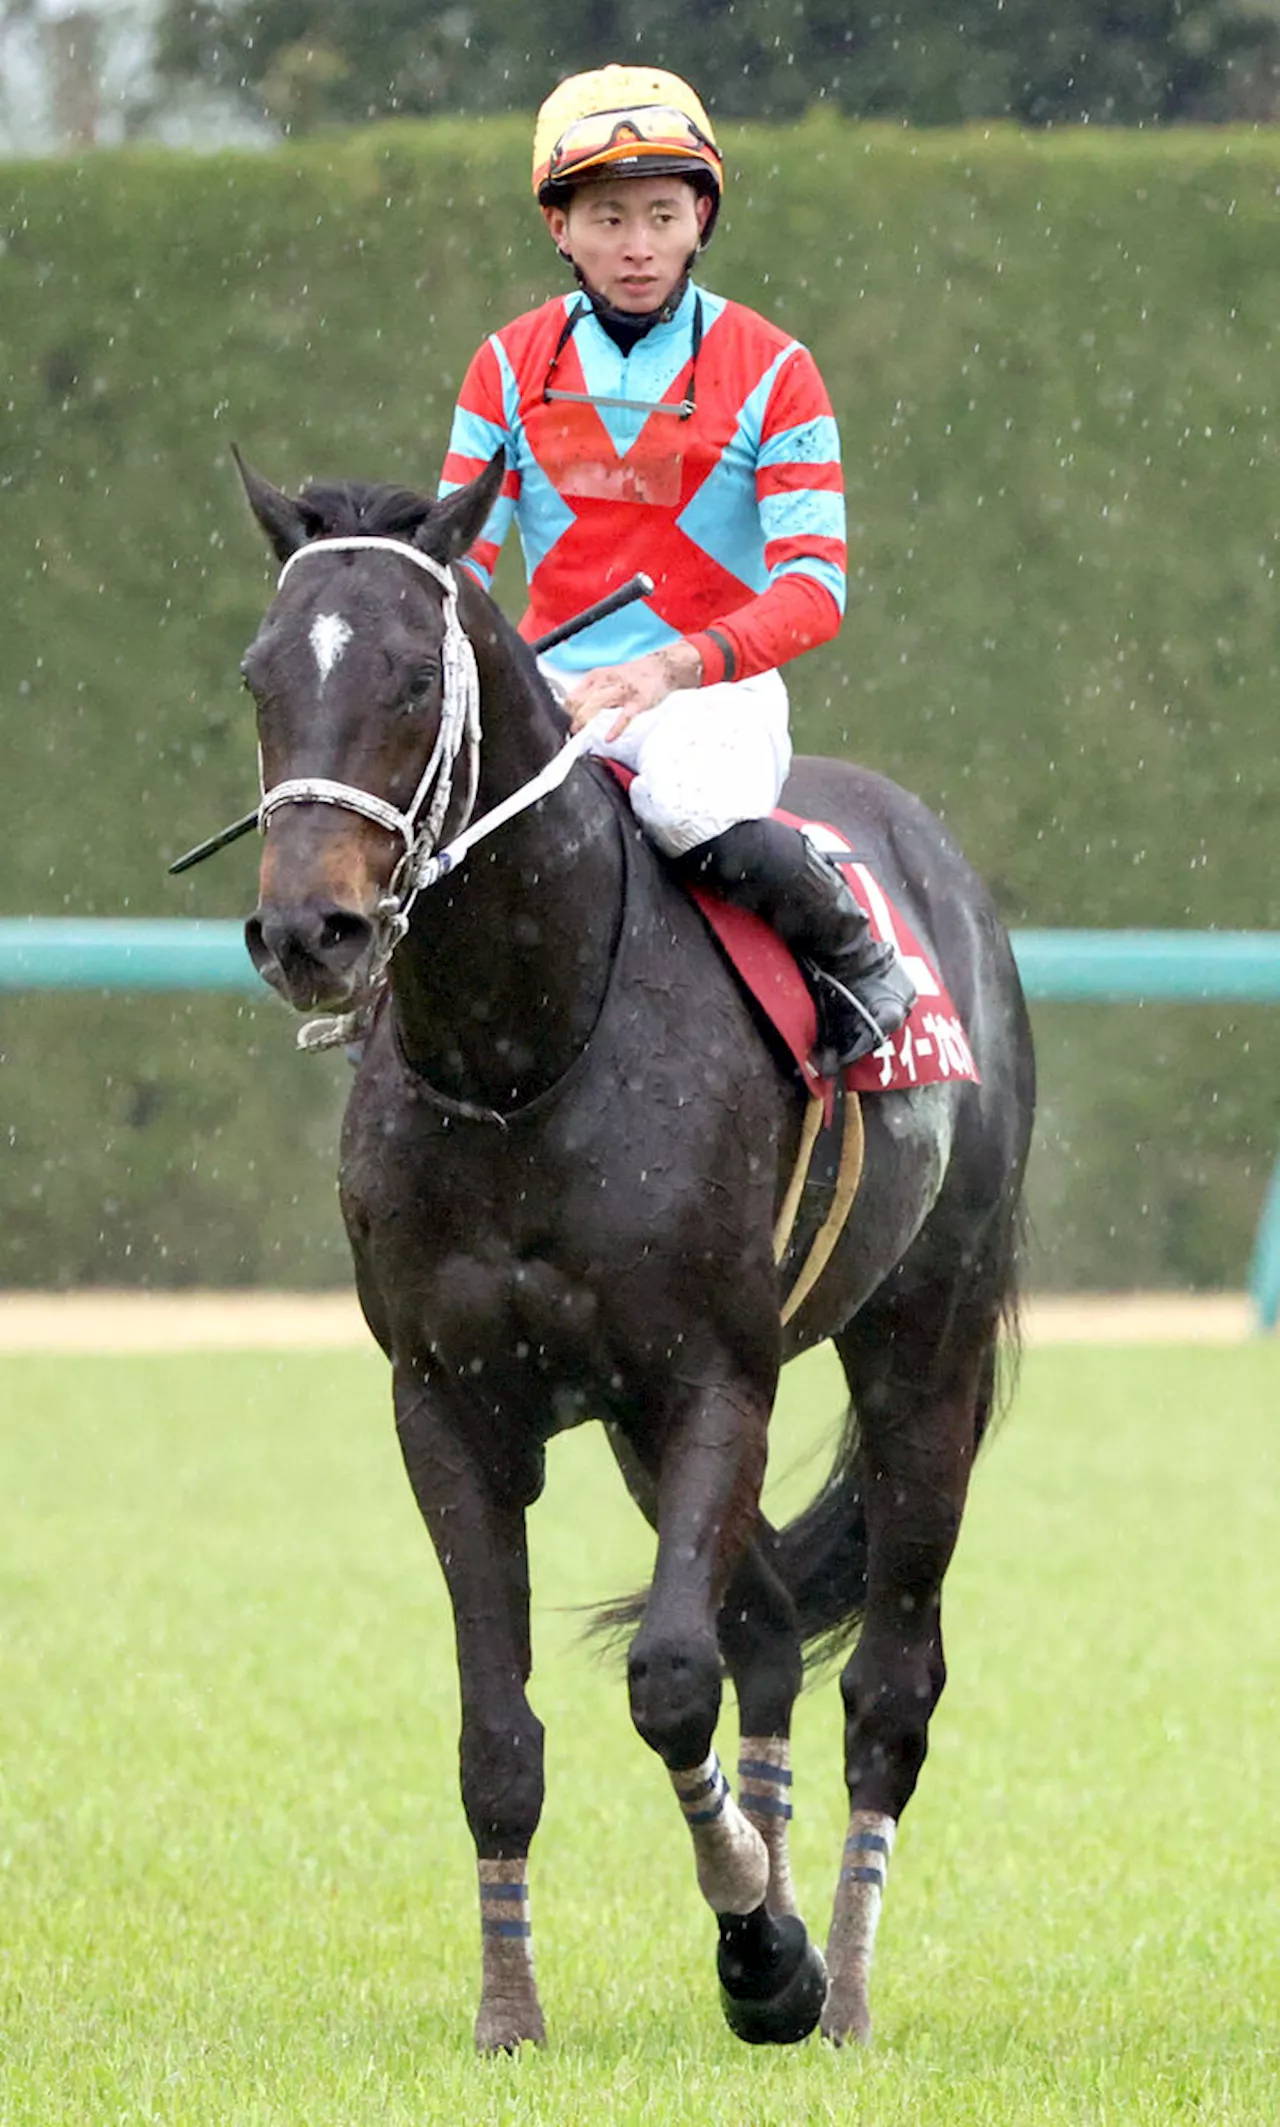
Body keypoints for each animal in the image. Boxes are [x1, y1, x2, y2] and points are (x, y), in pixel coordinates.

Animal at [226, 453, 1024, 2058]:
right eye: (261, 670)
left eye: (416, 675)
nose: (307, 929)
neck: (523, 1050)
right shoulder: (448, 1399)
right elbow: (499, 1732)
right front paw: (514, 2011)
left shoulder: (711, 1376)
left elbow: (667, 1679)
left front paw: (766, 1954)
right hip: (644, 1430)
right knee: (769, 1624)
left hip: (925, 1346)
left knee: (888, 1684)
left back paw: (841, 1985)